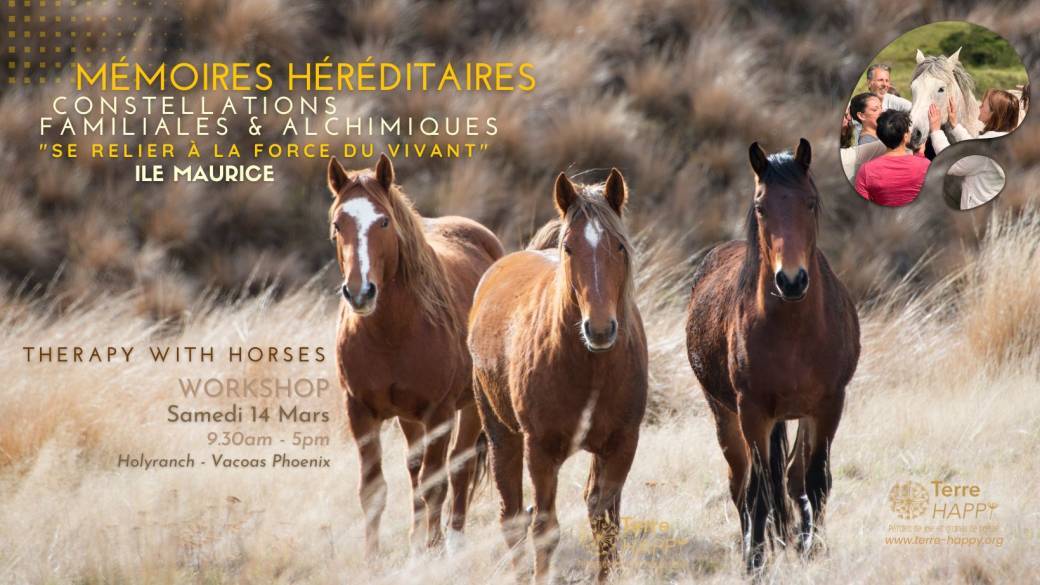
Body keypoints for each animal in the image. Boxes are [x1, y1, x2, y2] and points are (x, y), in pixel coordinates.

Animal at [328, 154, 504, 556]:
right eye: (338, 224)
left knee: (458, 467)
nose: (359, 292)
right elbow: (373, 488)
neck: (392, 333)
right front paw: (373, 557)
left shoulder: (439, 412)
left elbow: (436, 482)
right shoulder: (359, 410)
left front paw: (433, 550)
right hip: (408, 418)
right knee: (414, 468)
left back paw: (453, 542)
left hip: (470, 406)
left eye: (383, 221)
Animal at [468, 170, 648, 584]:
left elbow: (605, 521)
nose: (600, 329)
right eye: (569, 248)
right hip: (502, 435)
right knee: (512, 516)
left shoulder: (622, 445)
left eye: (618, 246)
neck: (591, 366)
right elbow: (545, 529)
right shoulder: (541, 450)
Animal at [685, 139, 860, 573]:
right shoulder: (753, 412)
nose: (791, 280)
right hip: (725, 414)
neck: (793, 331)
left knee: (793, 478)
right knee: (742, 484)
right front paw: (755, 564)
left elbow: (815, 481)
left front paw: (812, 551)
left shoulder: (829, 405)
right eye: (761, 206)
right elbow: (760, 490)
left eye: (810, 202)